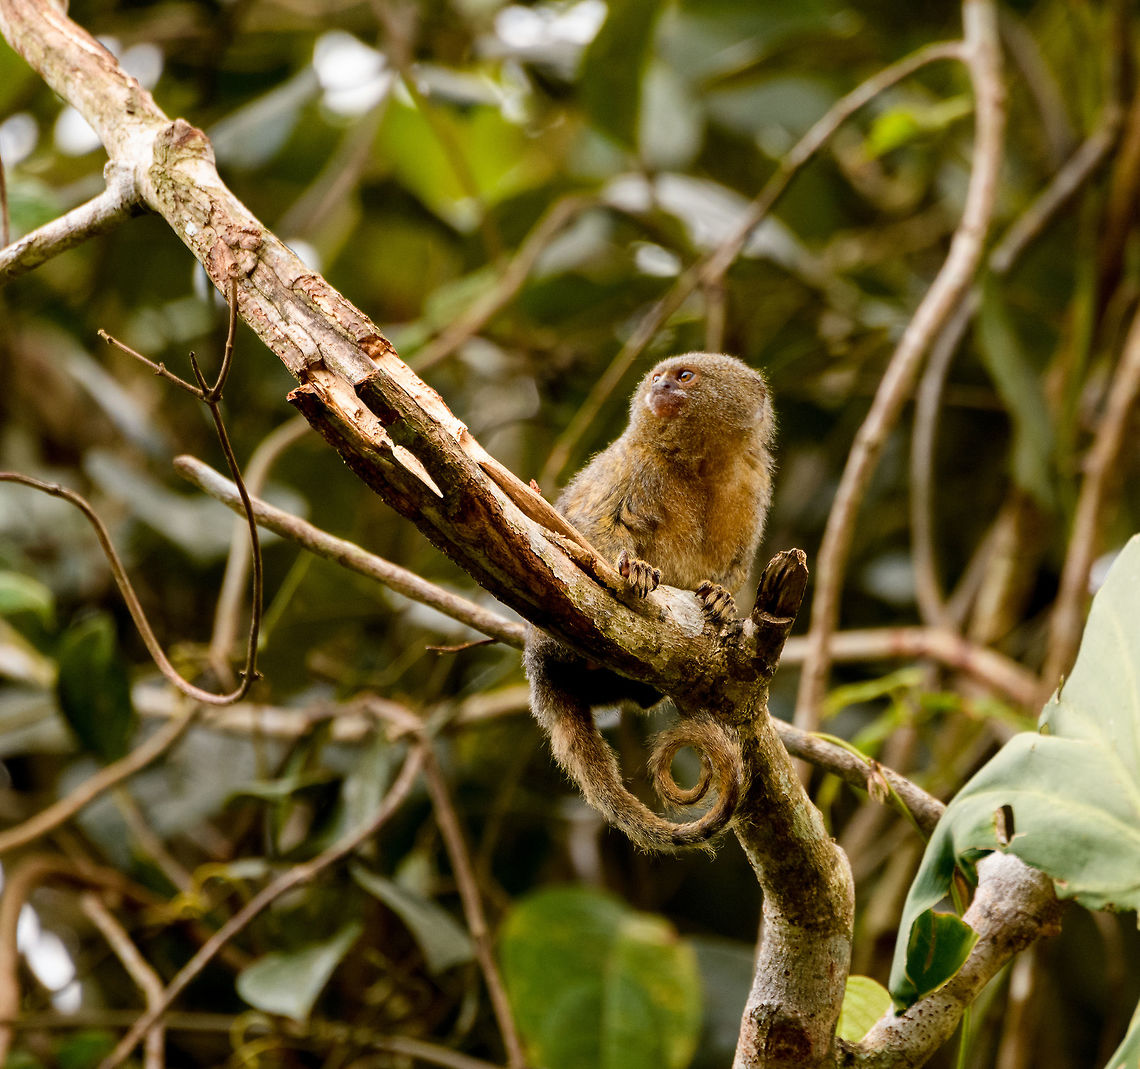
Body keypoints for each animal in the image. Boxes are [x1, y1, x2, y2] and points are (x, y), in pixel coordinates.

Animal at [524, 352, 776, 851]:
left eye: (684, 377)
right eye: (658, 376)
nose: (659, 386)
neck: (700, 465)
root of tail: (540, 666)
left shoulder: (753, 485)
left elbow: (734, 567)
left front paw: (721, 599)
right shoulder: (633, 465)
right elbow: (594, 525)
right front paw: (634, 569)